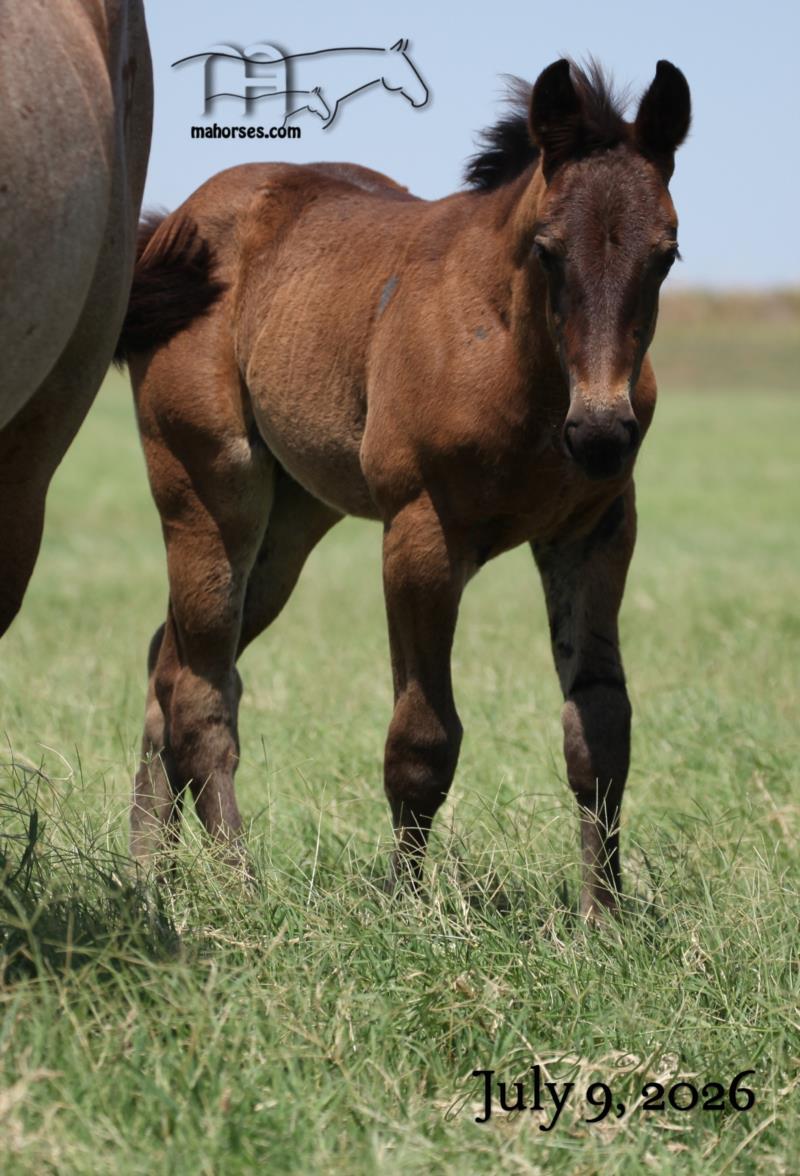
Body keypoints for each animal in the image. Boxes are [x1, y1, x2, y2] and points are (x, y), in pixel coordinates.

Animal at [116, 58, 690, 917]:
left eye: (667, 254)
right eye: (548, 251)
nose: (600, 434)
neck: (521, 368)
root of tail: (171, 230)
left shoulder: (595, 532)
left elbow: (599, 725)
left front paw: (603, 917)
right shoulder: (422, 535)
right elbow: (422, 737)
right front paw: (408, 910)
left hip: (289, 526)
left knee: (168, 661)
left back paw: (149, 872)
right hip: (209, 491)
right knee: (201, 691)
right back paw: (240, 888)